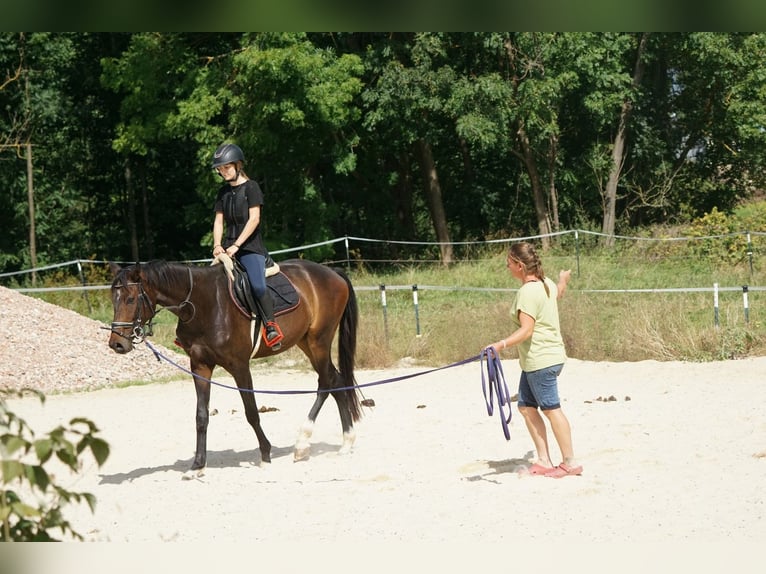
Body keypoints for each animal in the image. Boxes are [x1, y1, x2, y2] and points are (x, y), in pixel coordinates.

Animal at [106, 258, 366, 474]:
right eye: (113, 300)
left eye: (131, 299)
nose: (117, 344)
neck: (203, 304)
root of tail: (331, 272)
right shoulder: (200, 366)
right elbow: (201, 416)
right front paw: (197, 465)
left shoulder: (239, 366)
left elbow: (251, 412)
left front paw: (265, 454)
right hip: (306, 342)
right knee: (335, 380)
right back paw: (346, 441)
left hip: (318, 340)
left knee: (326, 382)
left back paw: (304, 441)